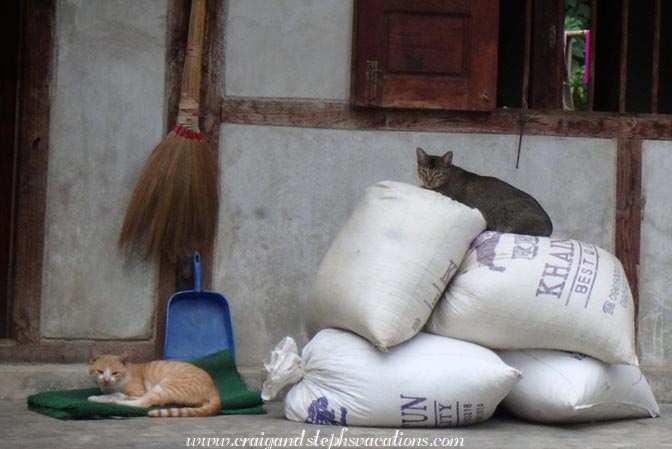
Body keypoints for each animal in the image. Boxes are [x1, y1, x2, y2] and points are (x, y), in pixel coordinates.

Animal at [86, 354, 220, 416]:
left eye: (115, 373)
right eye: (100, 371)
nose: (106, 379)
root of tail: (214, 388)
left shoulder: (137, 391)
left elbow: (116, 394)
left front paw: (97, 398)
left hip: (164, 386)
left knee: (144, 403)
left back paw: (114, 403)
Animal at [418, 148, 552, 238]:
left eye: (438, 173)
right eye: (423, 171)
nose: (428, 180)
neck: (449, 174)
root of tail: (550, 225)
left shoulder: (446, 193)